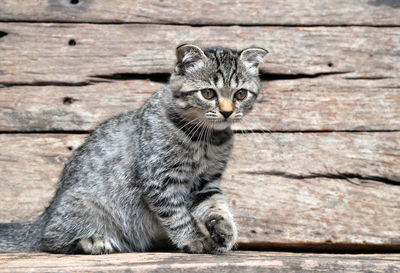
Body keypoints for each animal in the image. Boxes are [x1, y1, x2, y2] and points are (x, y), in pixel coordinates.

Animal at [0, 43, 268, 254]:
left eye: (240, 94)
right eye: (208, 93)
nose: (227, 112)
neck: (206, 140)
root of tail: (46, 214)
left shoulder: (206, 181)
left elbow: (216, 205)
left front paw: (225, 230)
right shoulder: (159, 178)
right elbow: (177, 216)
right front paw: (193, 240)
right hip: (85, 207)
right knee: (50, 241)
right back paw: (92, 241)